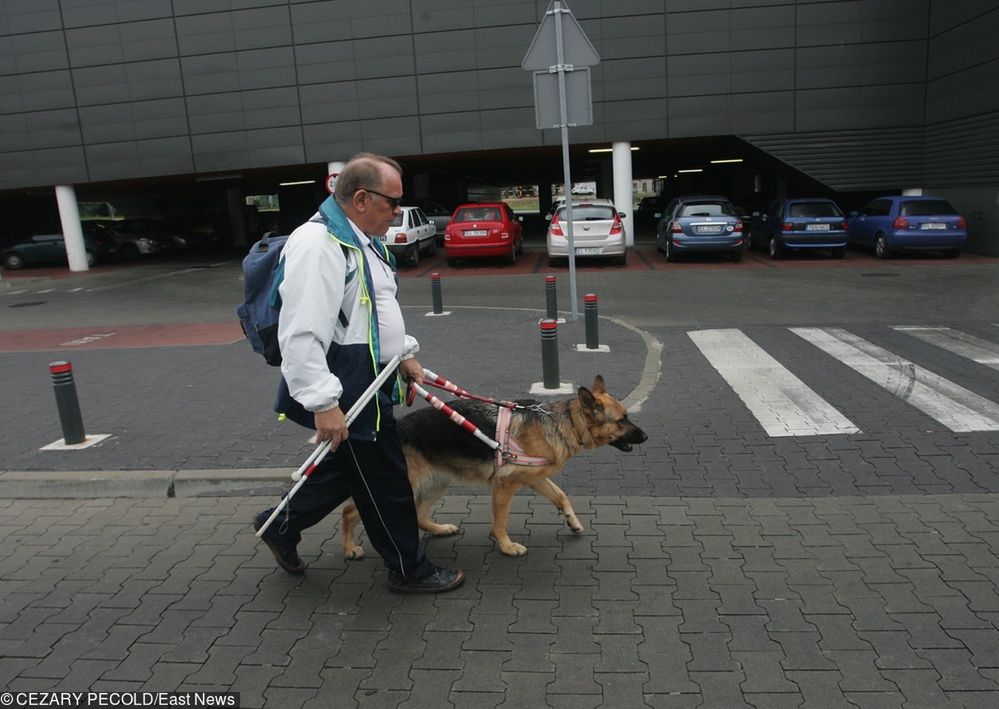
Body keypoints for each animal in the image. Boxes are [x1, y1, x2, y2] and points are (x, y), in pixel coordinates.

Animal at [344, 376, 648, 560]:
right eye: (622, 420)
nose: (645, 437)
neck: (565, 422)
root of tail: (398, 426)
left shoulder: (535, 479)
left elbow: (561, 497)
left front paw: (572, 522)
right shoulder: (505, 485)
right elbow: (499, 522)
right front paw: (506, 546)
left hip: (437, 483)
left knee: (418, 513)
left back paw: (440, 529)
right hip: (405, 483)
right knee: (350, 511)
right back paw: (349, 548)